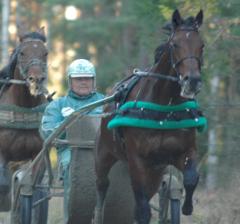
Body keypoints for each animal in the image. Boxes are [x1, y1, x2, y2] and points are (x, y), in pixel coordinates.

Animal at [0, 27, 48, 193]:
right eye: (22, 53)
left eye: (45, 53)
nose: (36, 80)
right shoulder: (2, 154)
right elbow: (4, 186)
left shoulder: (37, 156)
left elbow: (32, 185)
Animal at [94, 9, 204, 223]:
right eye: (175, 44)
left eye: (201, 45)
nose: (193, 80)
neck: (163, 110)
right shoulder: (137, 160)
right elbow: (142, 206)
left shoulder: (181, 152)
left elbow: (191, 178)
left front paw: (187, 207)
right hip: (103, 153)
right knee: (102, 185)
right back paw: (98, 213)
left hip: (155, 170)